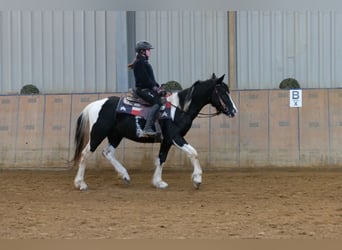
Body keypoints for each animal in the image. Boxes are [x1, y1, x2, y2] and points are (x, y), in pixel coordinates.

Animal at [72, 73, 238, 190]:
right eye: (223, 92)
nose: (234, 111)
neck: (178, 109)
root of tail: (93, 105)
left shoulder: (167, 141)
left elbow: (161, 159)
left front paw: (158, 182)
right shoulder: (175, 137)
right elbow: (193, 152)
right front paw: (197, 179)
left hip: (115, 135)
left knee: (107, 153)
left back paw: (125, 176)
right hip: (97, 134)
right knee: (85, 154)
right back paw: (81, 183)